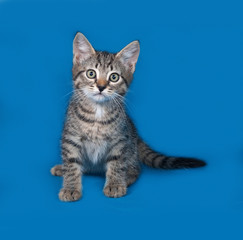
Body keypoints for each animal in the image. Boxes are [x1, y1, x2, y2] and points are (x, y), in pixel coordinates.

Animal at [50, 31, 205, 201]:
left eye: (114, 77)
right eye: (91, 74)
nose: (101, 87)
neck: (97, 113)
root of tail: (135, 132)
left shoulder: (120, 140)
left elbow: (117, 163)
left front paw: (115, 184)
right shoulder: (70, 138)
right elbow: (71, 163)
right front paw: (70, 187)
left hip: (130, 149)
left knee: (136, 169)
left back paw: (126, 178)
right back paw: (62, 168)